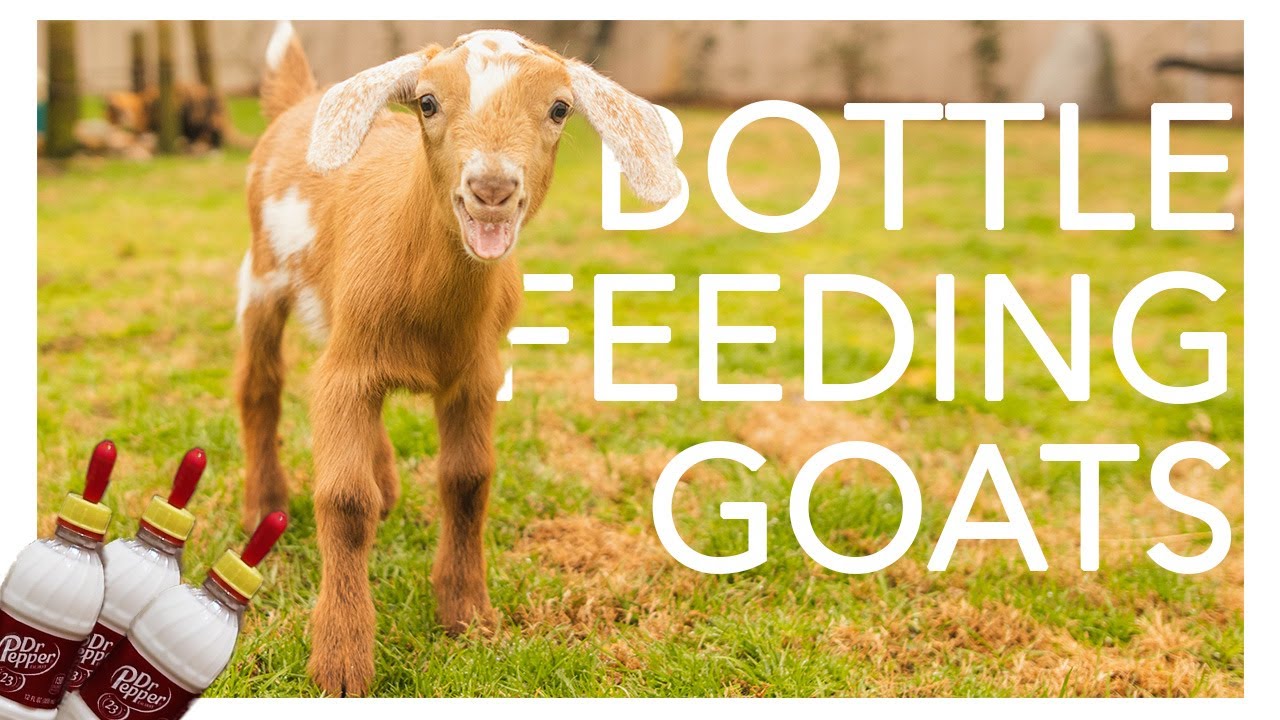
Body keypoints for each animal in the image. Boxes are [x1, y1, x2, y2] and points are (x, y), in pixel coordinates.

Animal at [238, 22, 679, 696]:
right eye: (426, 102)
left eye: (559, 108)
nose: (491, 189)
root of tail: (299, 102)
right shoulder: (345, 372)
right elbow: (344, 500)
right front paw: (340, 662)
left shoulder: (476, 375)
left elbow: (468, 481)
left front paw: (467, 614)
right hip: (261, 276)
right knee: (260, 385)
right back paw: (264, 503)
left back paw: (385, 482)